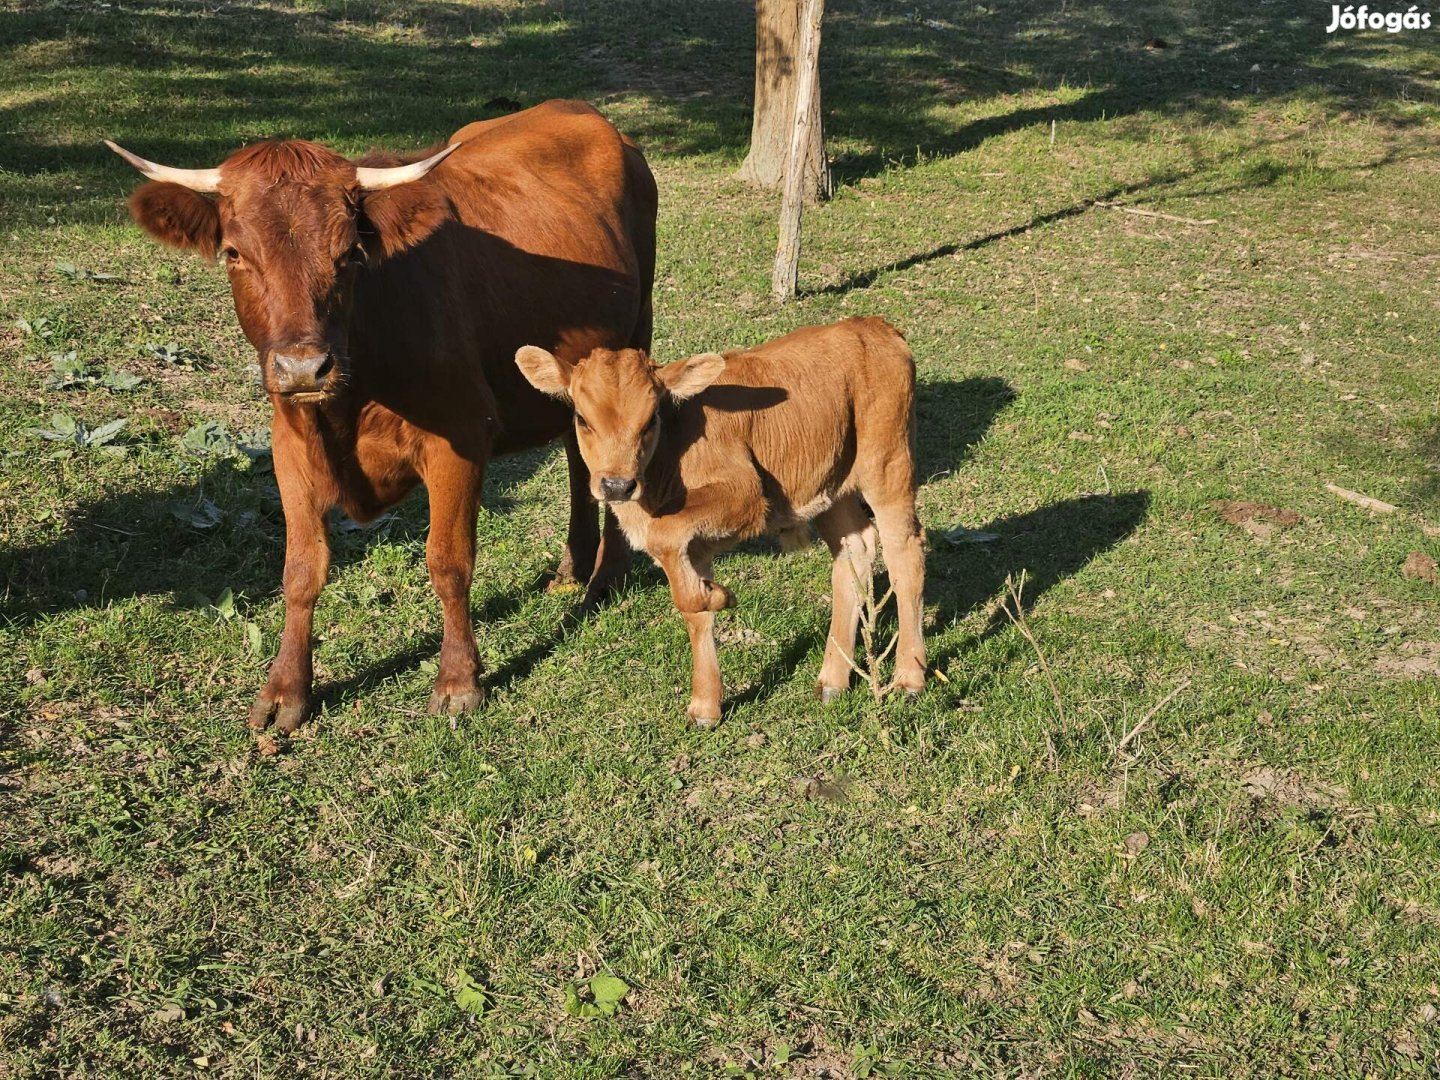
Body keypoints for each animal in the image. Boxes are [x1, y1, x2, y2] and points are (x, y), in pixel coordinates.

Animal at [109, 101, 656, 731]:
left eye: (349, 254)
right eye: (234, 253)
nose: (303, 368)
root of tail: (580, 112)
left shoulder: (460, 439)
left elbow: (448, 561)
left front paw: (458, 681)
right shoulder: (289, 443)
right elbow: (301, 570)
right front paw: (285, 691)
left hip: (635, 332)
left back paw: (605, 578)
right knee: (574, 448)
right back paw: (573, 567)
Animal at [512, 316, 927, 731]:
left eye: (651, 419)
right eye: (582, 419)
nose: (616, 485)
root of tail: (872, 326)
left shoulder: (745, 493)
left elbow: (666, 538)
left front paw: (718, 595)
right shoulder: (692, 543)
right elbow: (691, 605)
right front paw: (706, 704)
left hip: (887, 462)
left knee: (905, 552)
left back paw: (909, 677)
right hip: (830, 484)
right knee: (854, 550)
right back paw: (833, 681)